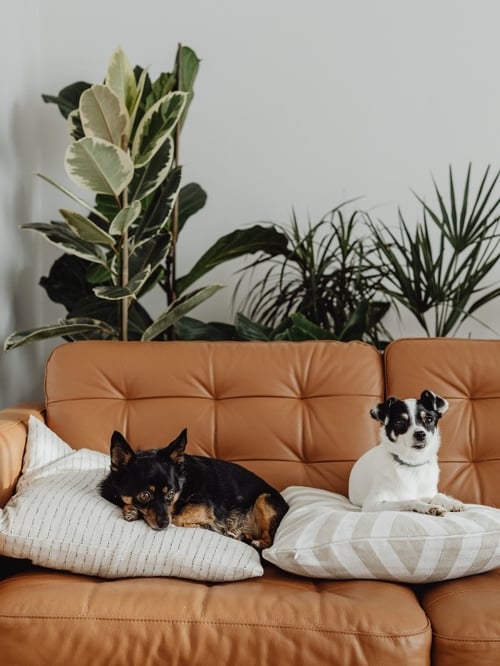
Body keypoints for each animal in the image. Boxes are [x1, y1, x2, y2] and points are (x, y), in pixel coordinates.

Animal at [98, 428, 286, 548]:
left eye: (171, 493)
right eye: (144, 495)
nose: (164, 524)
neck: (184, 483)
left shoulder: (203, 507)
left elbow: (177, 517)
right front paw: (131, 509)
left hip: (264, 499)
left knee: (268, 541)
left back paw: (254, 541)